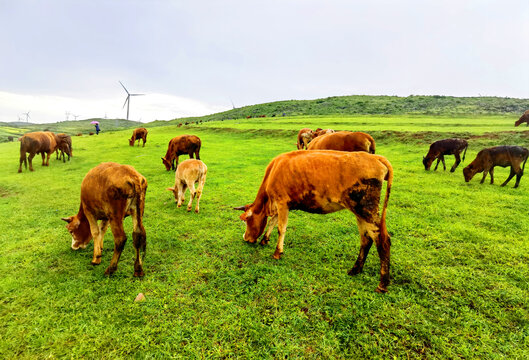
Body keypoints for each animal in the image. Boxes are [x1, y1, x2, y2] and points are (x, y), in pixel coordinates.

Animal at [235, 150, 392, 294]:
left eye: (247, 220)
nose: (245, 238)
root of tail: (374, 157)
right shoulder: (282, 205)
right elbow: (272, 222)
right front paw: (265, 239)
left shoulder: (282, 202)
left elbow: (281, 228)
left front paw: (278, 252)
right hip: (359, 212)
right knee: (366, 239)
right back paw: (355, 269)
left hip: (366, 210)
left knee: (382, 240)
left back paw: (382, 284)